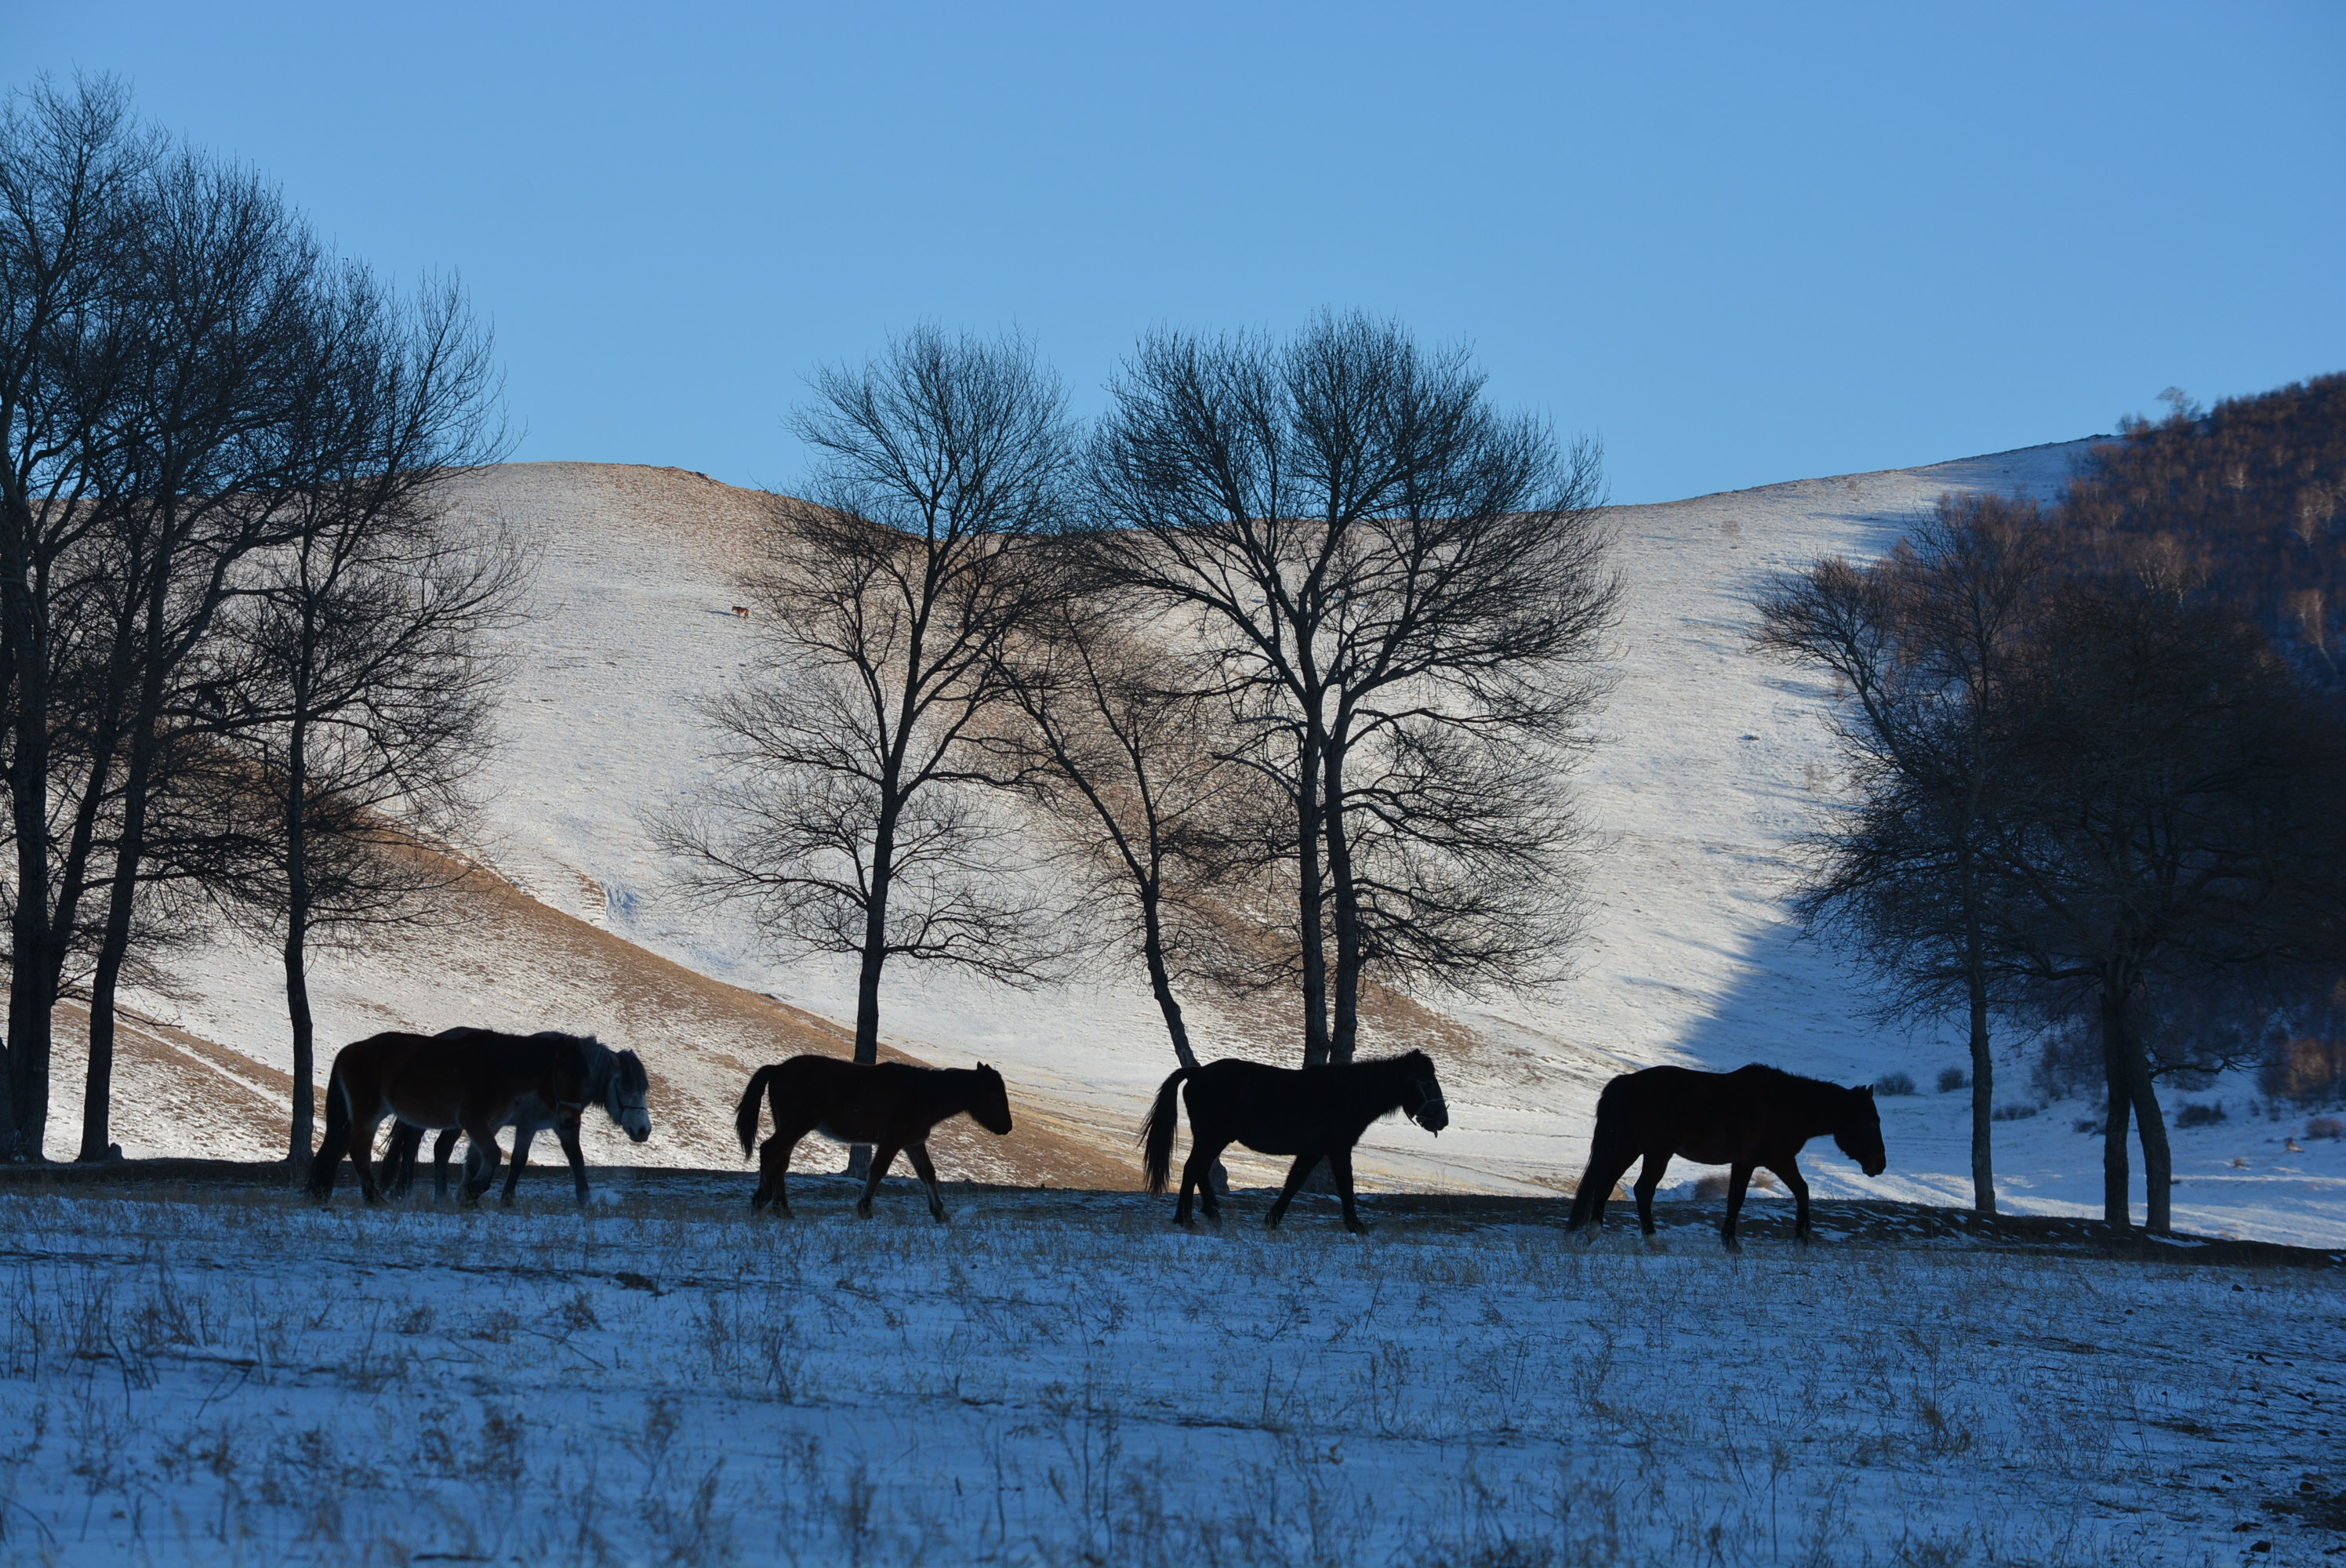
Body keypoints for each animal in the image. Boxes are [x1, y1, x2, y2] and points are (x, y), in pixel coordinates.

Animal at [307, 1033, 652, 1210]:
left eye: (644, 1088)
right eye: (625, 1085)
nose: (643, 1131)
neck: (504, 1068)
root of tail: (350, 1051)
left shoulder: (531, 1125)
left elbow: (570, 1159)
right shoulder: (513, 1122)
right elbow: (507, 1158)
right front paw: (478, 1192)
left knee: (343, 1148)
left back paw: (325, 1191)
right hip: (374, 1113)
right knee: (365, 1150)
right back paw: (377, 1197)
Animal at [732, 1051, 1008, 1220]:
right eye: (996, 1094)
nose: (1007, 1127)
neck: (924, 1094)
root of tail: (778, 1069)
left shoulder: (914, 1143)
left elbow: (927, 1173)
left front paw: (940, 1213)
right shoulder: (892, 1141)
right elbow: (877, 1171)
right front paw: (864, 1208)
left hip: (789, 1127)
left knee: (780, 1163)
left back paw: (783, 1210)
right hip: (794, 1126)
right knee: (769, 1152)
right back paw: (761, 1199)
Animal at [1140, 1051, 1445, 1239]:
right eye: (1428, 1083)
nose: (1443, 1120)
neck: (1347, 1094)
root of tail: (1197, 1073)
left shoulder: (1313, 1151)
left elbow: (1294, 1183)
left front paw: (1272, 1220)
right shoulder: (1337, 1149)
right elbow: (1344, 1185)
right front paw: (1357, 1226)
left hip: (1213, 1138)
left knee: (1199, 1171)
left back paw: (1211, 1214)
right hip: (1212, 1136)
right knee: (1193, 1169)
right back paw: (1187, 1219)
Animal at [1557, 1065, 1886, 1248]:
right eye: (1872, 1123)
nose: (1879, 1165)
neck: (1788, 1106)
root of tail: (1627, 1082)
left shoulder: (1745, 1163)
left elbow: (1735, 1199)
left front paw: (1729, 1240)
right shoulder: (1775, 1160)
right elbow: (1800, 1191)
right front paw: (1800, 1241)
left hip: (1631, 1147)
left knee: (1606, 1183)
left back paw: (1592, 1233)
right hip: (1656, 1152)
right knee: (1643, 1190)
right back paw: (1653, 1241)